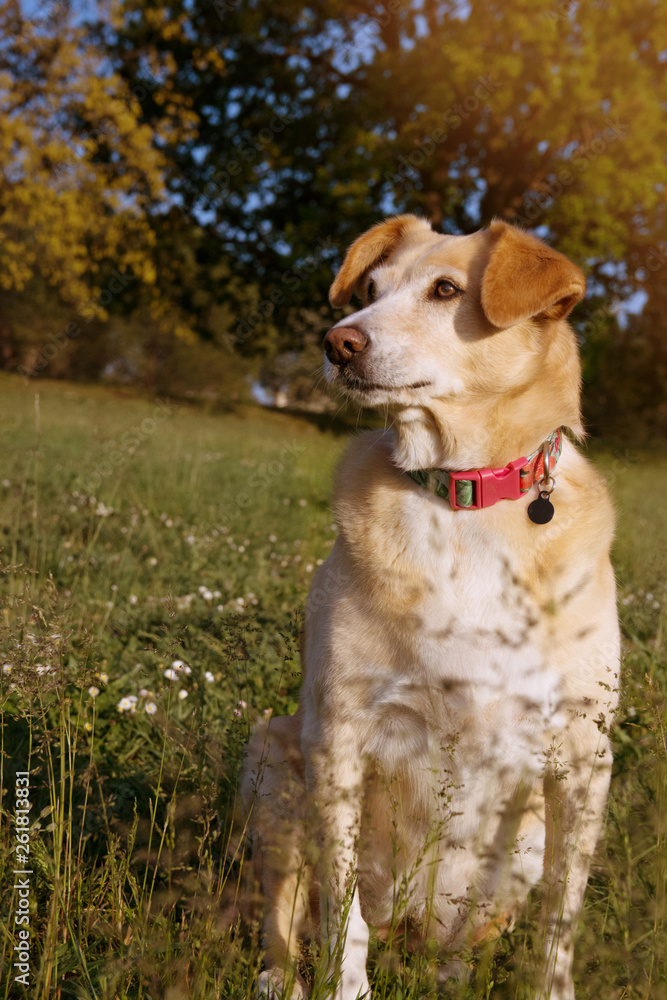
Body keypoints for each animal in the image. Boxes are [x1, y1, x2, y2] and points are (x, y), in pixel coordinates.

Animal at [243, 217, 624, 1000]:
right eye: (369, 289)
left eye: (446, 290)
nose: (337, 341)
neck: (463, 496)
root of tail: (413, 935)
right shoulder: (339, 736)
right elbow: (342, 912)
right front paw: (345, 989)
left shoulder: (582, 755)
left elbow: (560, 918)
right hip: (272, 763)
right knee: (287, 911)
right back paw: (278, 976)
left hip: (519, 841)